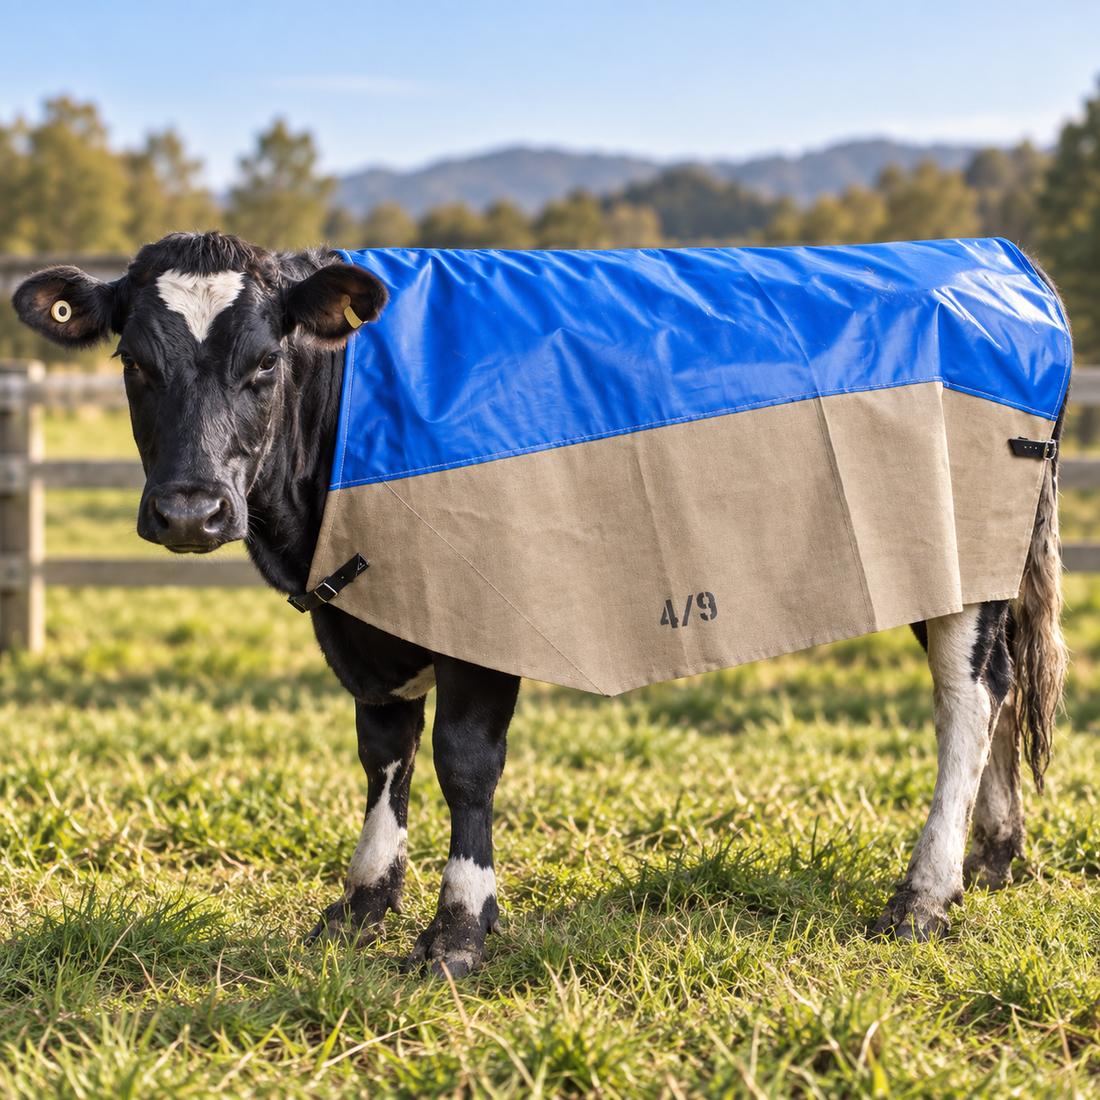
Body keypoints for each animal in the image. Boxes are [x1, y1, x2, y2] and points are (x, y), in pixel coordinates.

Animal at [13, 231, 1068, 976]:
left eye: (265, 363)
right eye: (133, 364)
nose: (190, 510)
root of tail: (1002, 261)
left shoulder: (485, 603)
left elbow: (464, 764)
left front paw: (458, 930)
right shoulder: (369, 613)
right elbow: (383, 752)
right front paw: (362, 903)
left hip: (959, 554)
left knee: (970, 698)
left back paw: (925, 894)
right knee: (1002, 689)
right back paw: (993, 855)